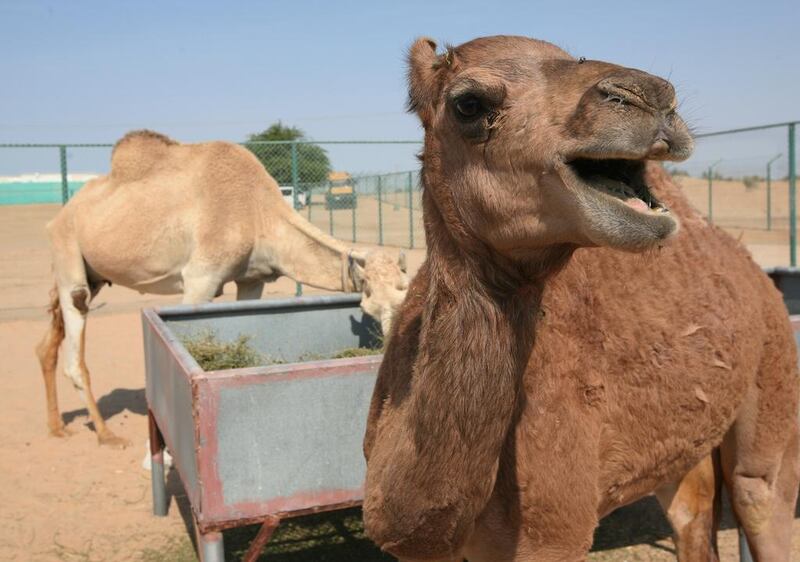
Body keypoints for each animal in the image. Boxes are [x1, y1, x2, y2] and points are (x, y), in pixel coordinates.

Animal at [36, 130, 412, 446]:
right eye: (368, 307)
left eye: (406, 294)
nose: (392, 354)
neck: (259, 211)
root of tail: (61, 214)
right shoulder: (200, 277)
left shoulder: (252, 279)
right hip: (68, 251)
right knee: (75, 337)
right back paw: (106, 435)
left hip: (93, 273)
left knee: (48, 342)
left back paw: (57, 427)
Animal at [364, 36, 800, 560]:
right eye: (468, 104)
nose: (651, 97)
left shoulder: (554, 535)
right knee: (691, 512)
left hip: (776, 375)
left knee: (760, 492)